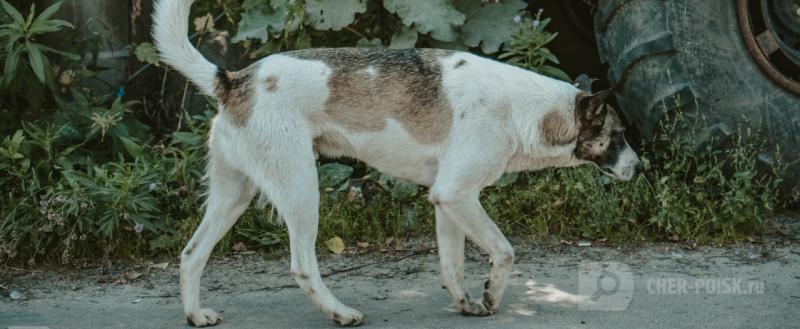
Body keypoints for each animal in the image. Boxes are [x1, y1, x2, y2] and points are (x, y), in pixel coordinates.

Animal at [153, 0, 640, 324]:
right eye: (618, 136)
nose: (641, 168)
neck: (524, 109)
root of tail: (236, 79)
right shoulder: (457, 195)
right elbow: (504, 250)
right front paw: (492, 296)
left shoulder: (449, 200)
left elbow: (452, 264)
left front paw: (465, 302)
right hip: (301, 189)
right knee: (302, 265)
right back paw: (340, 312)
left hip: (233, 196)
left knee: (191, 254)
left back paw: (196, 314)